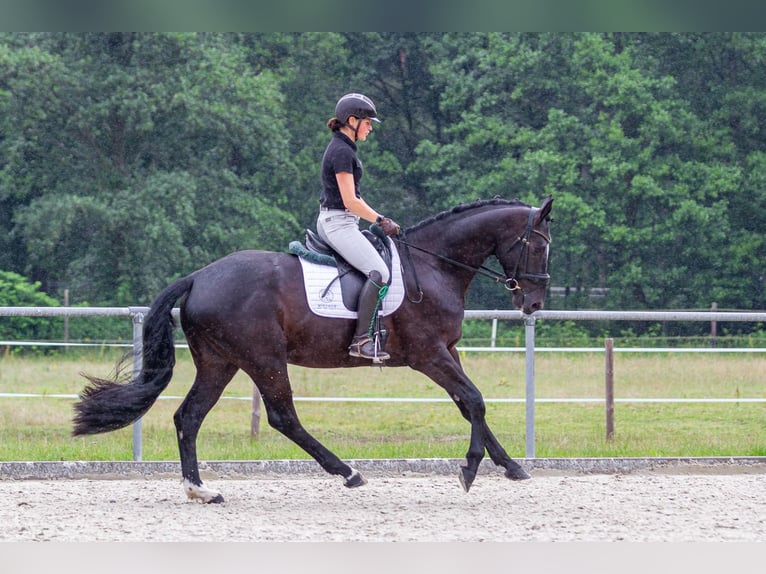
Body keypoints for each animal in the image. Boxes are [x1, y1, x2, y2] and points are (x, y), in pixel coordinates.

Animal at [73, 196, 552, 502]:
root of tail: (198, 276)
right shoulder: (428, 355)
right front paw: (470, 469)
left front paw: (510, 465)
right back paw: (348, 472)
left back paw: (201, 490)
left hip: (219, 362)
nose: (533, 304)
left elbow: (470, 405)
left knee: (188, 417)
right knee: (283, 417)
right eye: (539, 246)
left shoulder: (447, 352)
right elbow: (474, 399)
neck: (434, 264)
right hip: (264, 359)